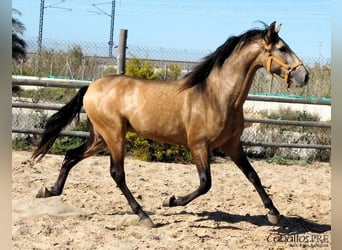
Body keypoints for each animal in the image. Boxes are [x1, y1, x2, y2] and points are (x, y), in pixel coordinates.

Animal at [32, 21, 310, 228]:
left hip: (100, 137)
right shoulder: (199, 145)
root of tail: (91, 86)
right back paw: (144, 216)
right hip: (114, 135)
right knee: (117, 173)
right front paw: (170, 200)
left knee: (70, 155)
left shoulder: (232, 145)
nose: (304, 76)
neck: (217, 96)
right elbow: (205, 183)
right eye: (282, 48)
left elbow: (253, 175)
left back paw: (48, 190)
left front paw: (274, 213)